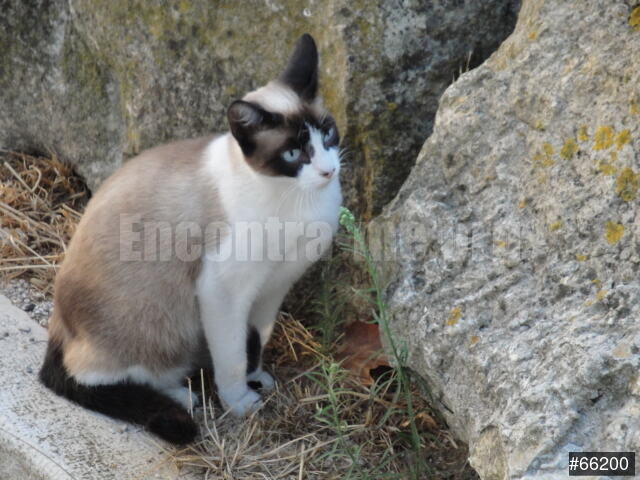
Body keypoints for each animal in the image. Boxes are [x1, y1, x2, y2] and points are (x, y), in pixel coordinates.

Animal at [39, 34, 342, 445]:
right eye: (293, 153)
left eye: (327, 133)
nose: (328, 170)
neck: (297, 198)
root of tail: (58, 328)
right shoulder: (224, 289)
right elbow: (232, 356)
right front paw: (240, 402)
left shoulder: (274, 285)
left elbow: (256, 340)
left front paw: (257, 379)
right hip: (159, 323)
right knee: (90, 374)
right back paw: (182, 398)